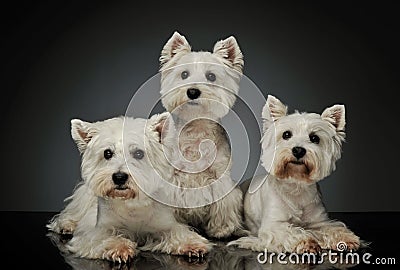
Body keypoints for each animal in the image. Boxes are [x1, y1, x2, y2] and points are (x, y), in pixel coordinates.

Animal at [46, 113, 212, 262]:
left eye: (138, 153)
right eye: (107, 153)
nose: (119, 177)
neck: (131, 205)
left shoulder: (164, 224)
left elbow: (177, 232)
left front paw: (192, 244)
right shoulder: (97, 230)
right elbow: (104, 237)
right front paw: (120, 248)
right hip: (84, 199)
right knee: (70, 213)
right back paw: (66, 225)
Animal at [157, 31, 245, 238]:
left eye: (211, 76)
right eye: (184, 74)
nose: (193, 91)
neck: (195, 128)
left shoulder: (220, 176)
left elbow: (224, 203)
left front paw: (222, 229)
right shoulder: (172, 178)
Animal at [228, 96, 362, 254]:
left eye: (314, 138)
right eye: (286, 134)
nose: (298, 150)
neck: (296, 186)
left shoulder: (319, 221)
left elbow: (331, 227)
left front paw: (346, 237)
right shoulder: (273, 225)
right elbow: (291, 231)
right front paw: (306, 242)